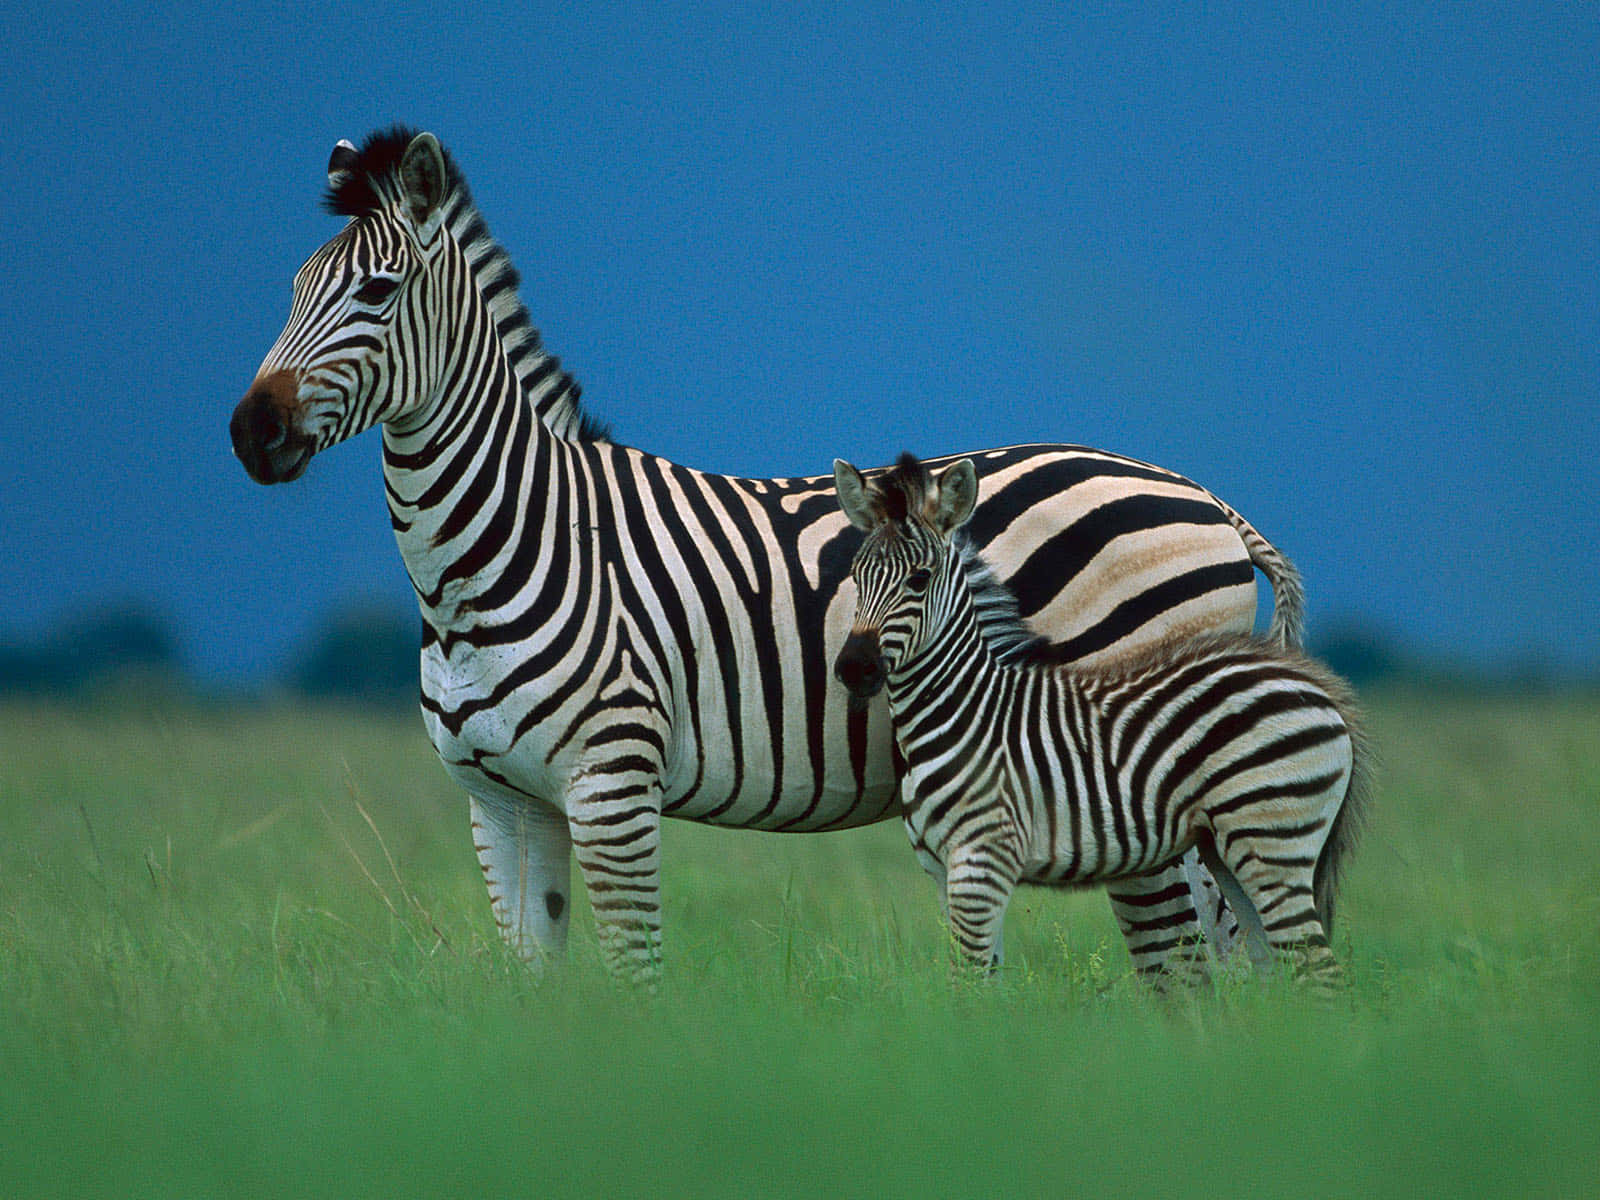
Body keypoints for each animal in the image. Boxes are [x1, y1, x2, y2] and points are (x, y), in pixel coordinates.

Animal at [229, 126, 1307, 983]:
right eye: (292, 290)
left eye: (377, 291)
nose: (251, 432)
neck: (503, 550)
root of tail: (1205, 499)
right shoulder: (500, 802)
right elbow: (535, 988)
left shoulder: (613, 785)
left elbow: (634, 979)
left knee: (1195, 958)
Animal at [831, 453, 1368, 988]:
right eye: (855, 576)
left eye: (919, 580)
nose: (854, 668)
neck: (964, 708)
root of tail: (1317, 686)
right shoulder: (944, 867)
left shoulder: (983, 857)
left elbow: (969, 984)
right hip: (1232, 847)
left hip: (1271, 837)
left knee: (1318, 971)